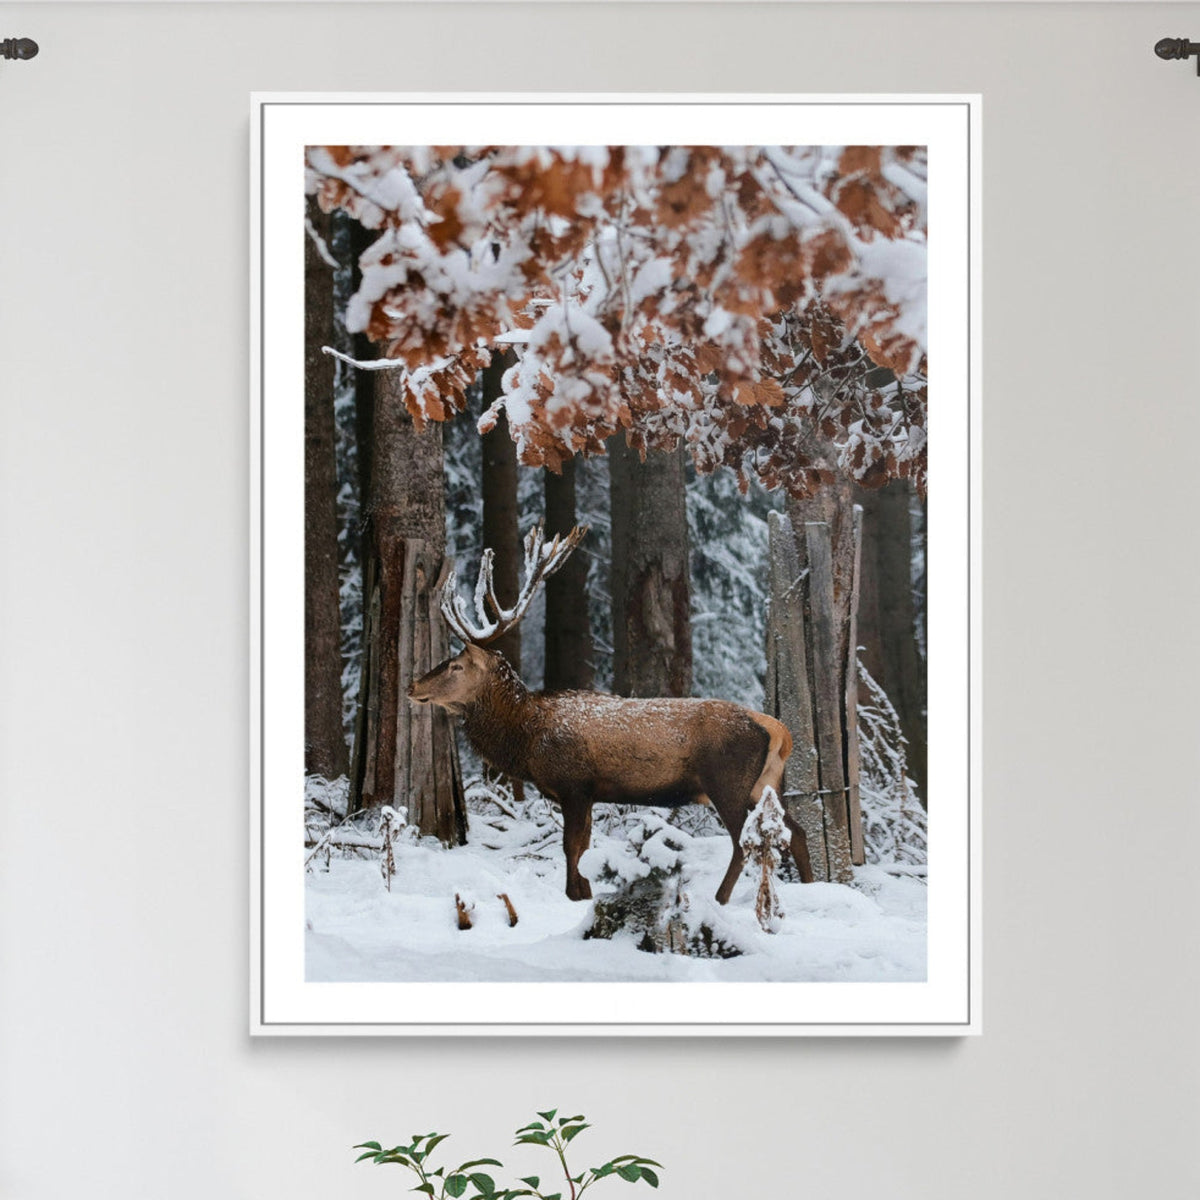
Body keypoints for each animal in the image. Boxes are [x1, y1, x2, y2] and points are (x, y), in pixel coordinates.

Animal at [408, 523, 814, 904]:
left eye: (456, 665)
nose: (412, 686)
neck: (527, 738)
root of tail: (777, 731)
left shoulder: (574, 783)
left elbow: (572, 847)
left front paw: (575, 895)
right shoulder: (588, 792)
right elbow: (584, 846)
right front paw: (586, 892)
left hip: (727, 781)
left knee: (743, 842)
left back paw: (719, 899)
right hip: (764, 783)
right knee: (796, 831)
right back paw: (813, 887)